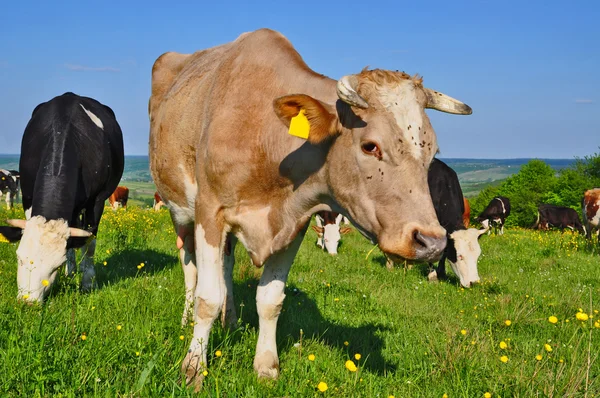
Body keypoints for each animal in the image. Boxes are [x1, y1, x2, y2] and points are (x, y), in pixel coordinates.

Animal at [0, 92, 124, 302]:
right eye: (19, 258)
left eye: (55, 266)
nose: (28, 302)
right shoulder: (27, 195)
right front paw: (71, 272)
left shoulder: (97, 201)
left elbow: (90, 242)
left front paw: (88, 283)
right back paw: (72, 271)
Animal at [148, 29, 472, 390]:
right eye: (370, 146)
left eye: (432, 151)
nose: (431, 242)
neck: (265, 135)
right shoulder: (210, 212)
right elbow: (207, 298)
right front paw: (192, 369)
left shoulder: (294, 224)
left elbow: (270, 299)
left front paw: (266, 367)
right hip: (179, 210)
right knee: (190, 267)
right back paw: (185, 319)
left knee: (226, 268)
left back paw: (229, 321)